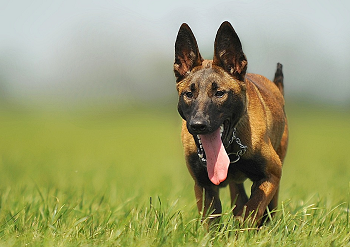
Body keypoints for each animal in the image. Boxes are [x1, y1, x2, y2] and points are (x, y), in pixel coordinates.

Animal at [174, 21, 288, 226]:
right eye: (189, 94)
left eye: (219, 93)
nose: (198, 125)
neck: (229, 146)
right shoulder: (204, 185)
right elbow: (212, 220)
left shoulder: (271, 175)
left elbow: (253, 210)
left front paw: (244, 230)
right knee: (239, 197)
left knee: (268, 209)